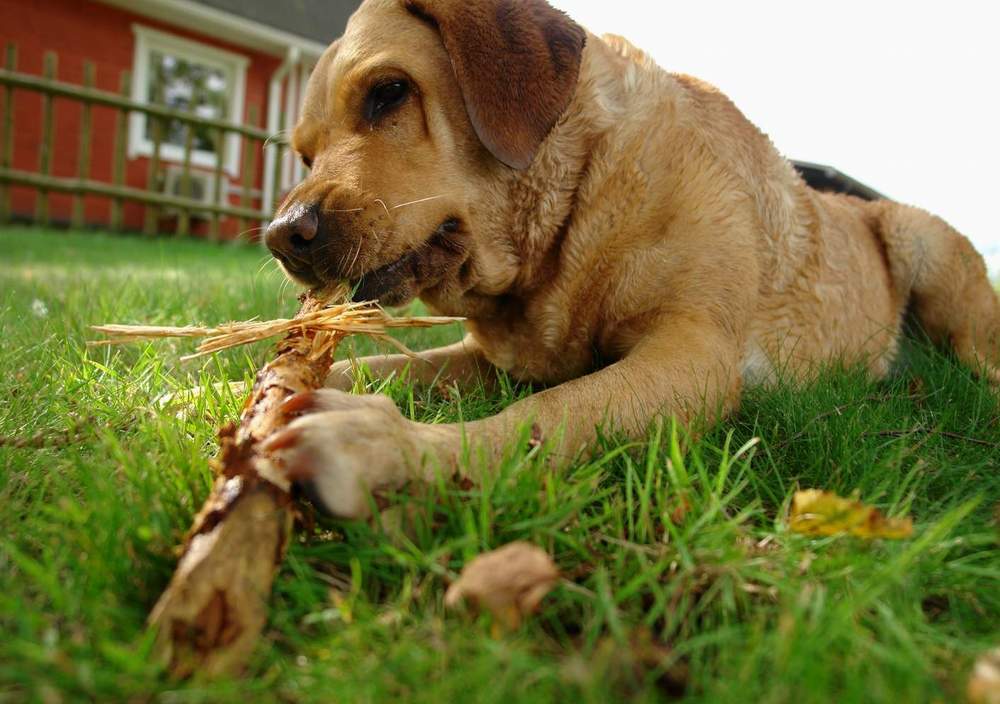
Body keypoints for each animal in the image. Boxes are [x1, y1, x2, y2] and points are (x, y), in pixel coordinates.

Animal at [260, 0, 1000, 516]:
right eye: (303, 153)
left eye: (388, 91)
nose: (282, 234)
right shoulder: (488, 359)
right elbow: (383, 365)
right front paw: (237, 390)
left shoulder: (693, 354)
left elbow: (551, 413)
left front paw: (391, 449)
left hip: (921, 244)